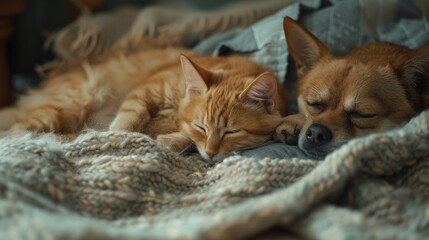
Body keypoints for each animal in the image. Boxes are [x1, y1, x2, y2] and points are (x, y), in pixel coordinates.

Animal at [0, 47, 288, 160]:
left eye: (231, 132)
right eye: (202, 127)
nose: (212, 154)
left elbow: (183, 140)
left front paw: (167, 141)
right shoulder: (145, 91)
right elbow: (128, 120)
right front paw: (118, 139)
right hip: (70, 103)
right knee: (18, 132)